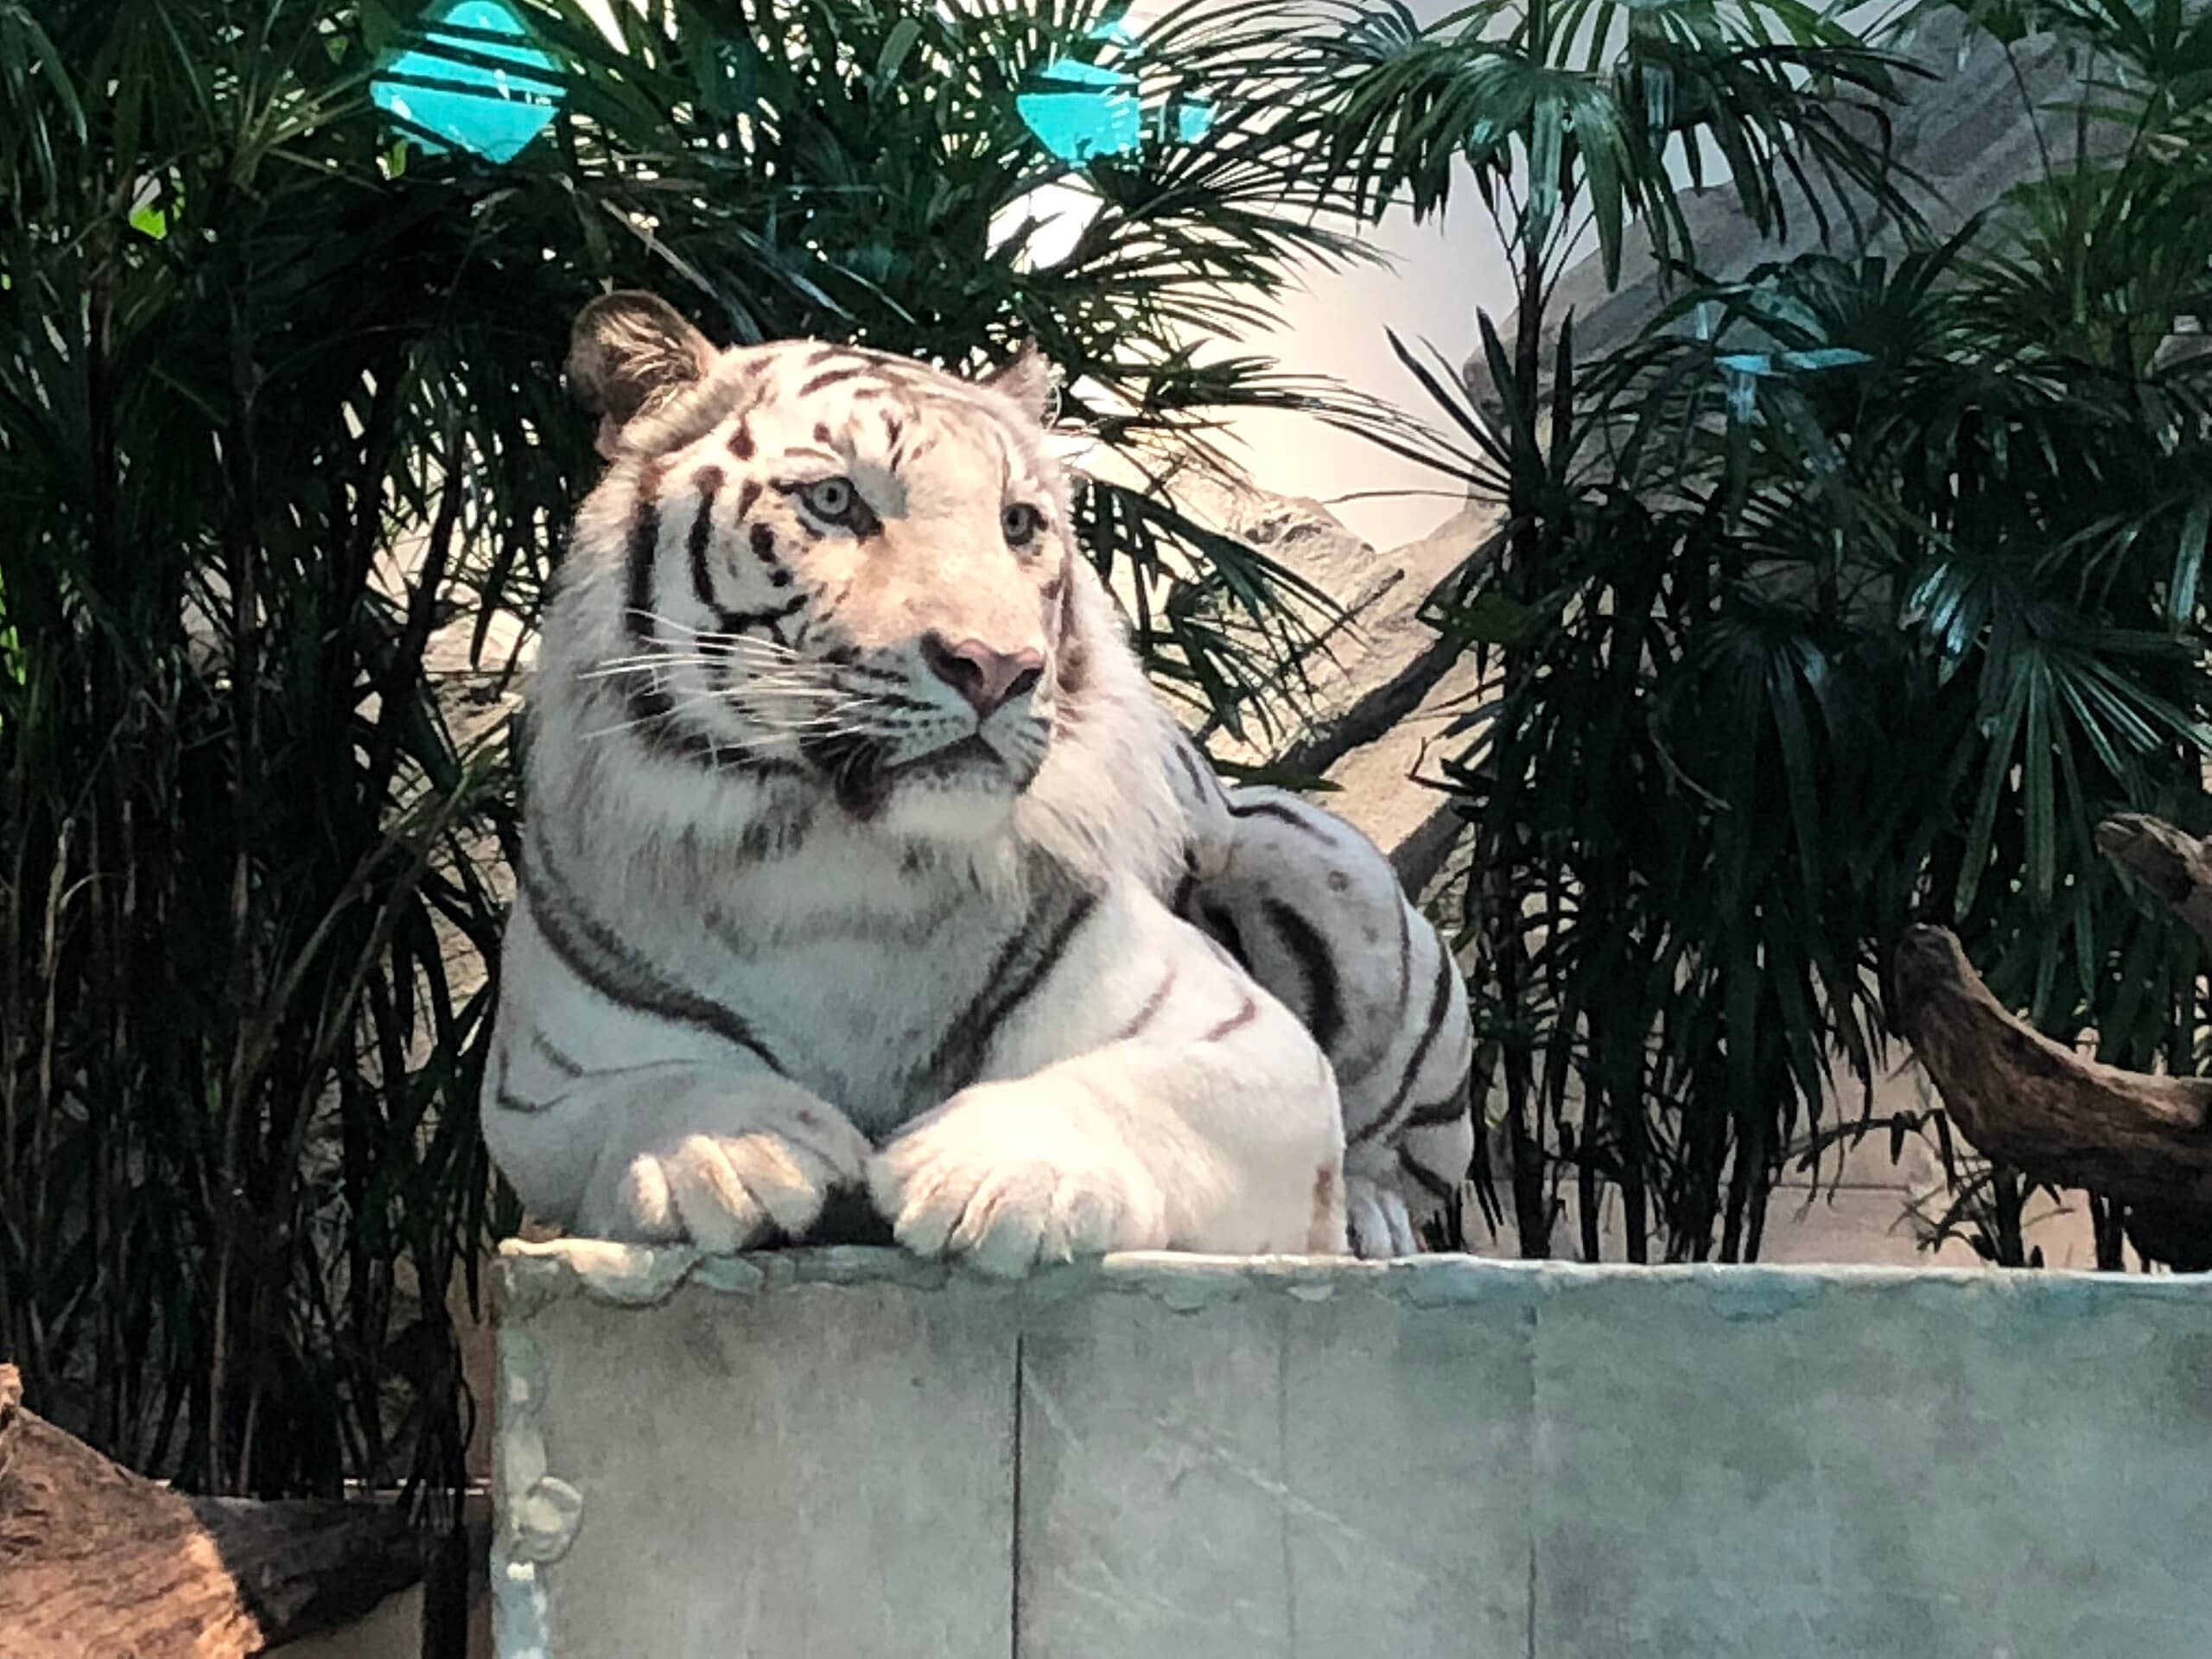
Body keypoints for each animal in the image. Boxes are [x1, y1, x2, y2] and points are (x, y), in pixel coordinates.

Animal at [480, 289, 1475, 1274]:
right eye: (835, 500)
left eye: (1017, 524)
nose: (998, 668)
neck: (840, 871)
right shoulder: (540, 1083)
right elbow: (660, 1088)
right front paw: (732, 1151)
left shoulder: (1244, 1040)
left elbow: (1141, 1091)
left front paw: (991, 1167)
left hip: (1307, 859)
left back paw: (1371, 1222)